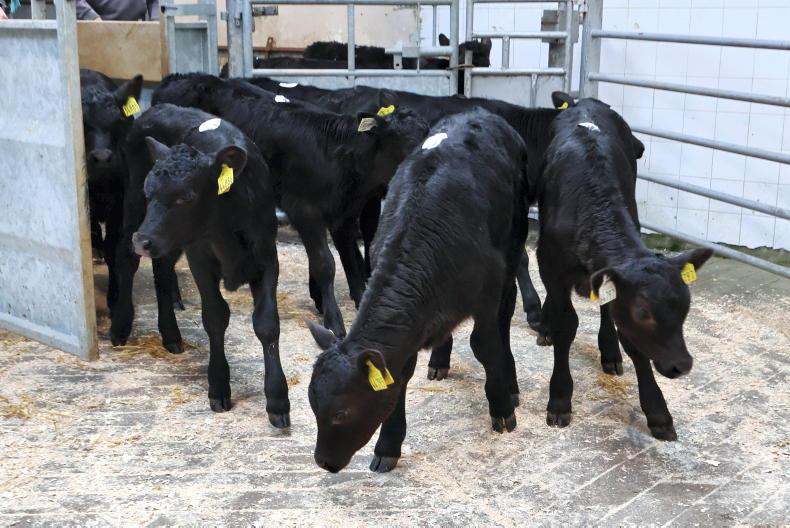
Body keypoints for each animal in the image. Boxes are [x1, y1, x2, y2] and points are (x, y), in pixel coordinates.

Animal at [124, 103, 290, 426]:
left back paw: (171, 334)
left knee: (163, 272)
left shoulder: (266, 257)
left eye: (186, 196)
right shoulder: (199, 256)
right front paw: (218, 385)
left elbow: (267, 323)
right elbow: (215, 316)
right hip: (136, 215)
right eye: (149, 192)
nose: (143, 241)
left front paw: (277, 400)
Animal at [150, 73, 429, 338]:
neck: (334, 152)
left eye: (428, 132)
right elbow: (325, 264)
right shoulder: (306, 211)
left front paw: (360, 304)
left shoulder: (344, 214)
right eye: (406, 141)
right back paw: (174, 299)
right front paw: (334, 322)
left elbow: (351, 259)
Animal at [307, 109, 529, 473]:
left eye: (341, 413)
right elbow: (401, 373)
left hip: (513, 245)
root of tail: (479, 112)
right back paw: (439, 359)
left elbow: (485, 344)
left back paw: (509, 381)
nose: (323, 461)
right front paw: (388, 445)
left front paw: (501, 406)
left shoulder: (487, 289)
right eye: (313, 406)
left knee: (505, 315)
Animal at [536, 96, 712, 441]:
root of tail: (584, 101)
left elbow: (631, 339)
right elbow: (566, 325)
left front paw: (657, 411)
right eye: (643, 312)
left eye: (686, 308)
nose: (682, 364)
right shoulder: (548, 261)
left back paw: (609, 351)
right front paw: (560, 398)